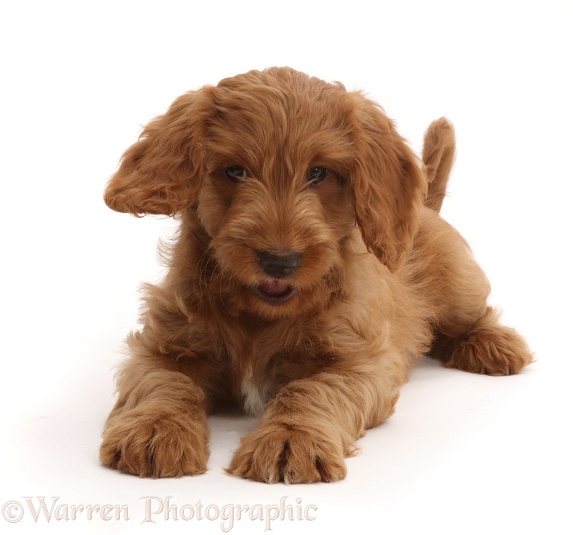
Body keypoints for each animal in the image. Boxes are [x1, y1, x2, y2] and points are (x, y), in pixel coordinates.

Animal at [99, 65, 532, 484]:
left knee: (471, 315)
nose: (280, 261)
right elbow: (165, 384)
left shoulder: (357, 362)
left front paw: (291, 438)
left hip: (459, 285)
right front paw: (156, 429)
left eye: (319, 173)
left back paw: (493, 345)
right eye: (235, 171)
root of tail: (426, 206)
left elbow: (312, 390)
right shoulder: (163, 347)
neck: (260, 315)